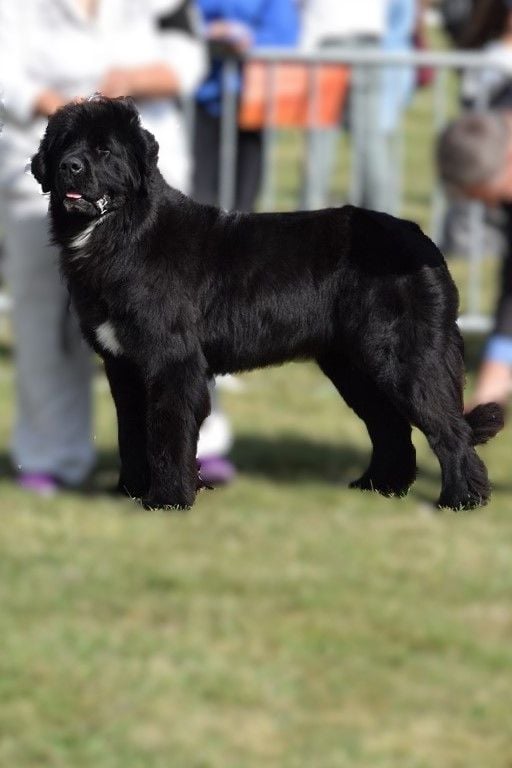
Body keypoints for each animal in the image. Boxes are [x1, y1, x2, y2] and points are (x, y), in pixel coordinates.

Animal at [32, 99, 504, 512]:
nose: (70, 166)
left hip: (404, 358)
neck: (122, 233)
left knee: (448, 428)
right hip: (352, 364)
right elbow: (132, 430)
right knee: (390, 425)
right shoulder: (123, 364)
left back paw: (461, 500)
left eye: (104, 150)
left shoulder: (172, 361)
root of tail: (421, 240)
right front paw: (129, 492)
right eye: (64, 145)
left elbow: (166, 431)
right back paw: (381, 487)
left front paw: (167, 500)